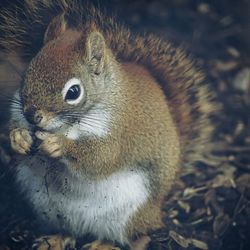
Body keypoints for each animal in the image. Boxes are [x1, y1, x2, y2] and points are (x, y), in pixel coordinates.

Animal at [0, 0, 217, 250]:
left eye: (73, 92)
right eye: (27, 74)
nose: (31, 115)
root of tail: (156, 211)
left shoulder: (118, 131)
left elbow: (101, 157)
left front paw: (59, 145)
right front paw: (18, 137)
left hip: (128, 215)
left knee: (137, 235)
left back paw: (105, 244)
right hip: (47, 208)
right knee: (70, 230)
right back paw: (56, 239)